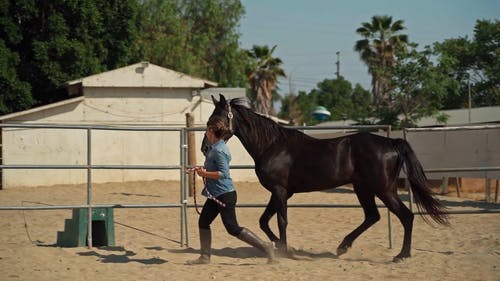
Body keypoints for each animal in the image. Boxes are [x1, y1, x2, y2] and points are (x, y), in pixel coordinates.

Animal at [201, 95, 448, 262]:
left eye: (215, 121)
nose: (205, 148)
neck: (272, 145)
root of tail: (392, 143)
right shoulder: (281, 192)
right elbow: (264, 221)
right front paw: (282, 247)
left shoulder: (280, 191)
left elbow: (281, 220)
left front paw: (287, 251)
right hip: (363, 188)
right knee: (372, 216)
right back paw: (343, 247)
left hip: (384, 189)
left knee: (405, 216)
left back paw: (401, 255)